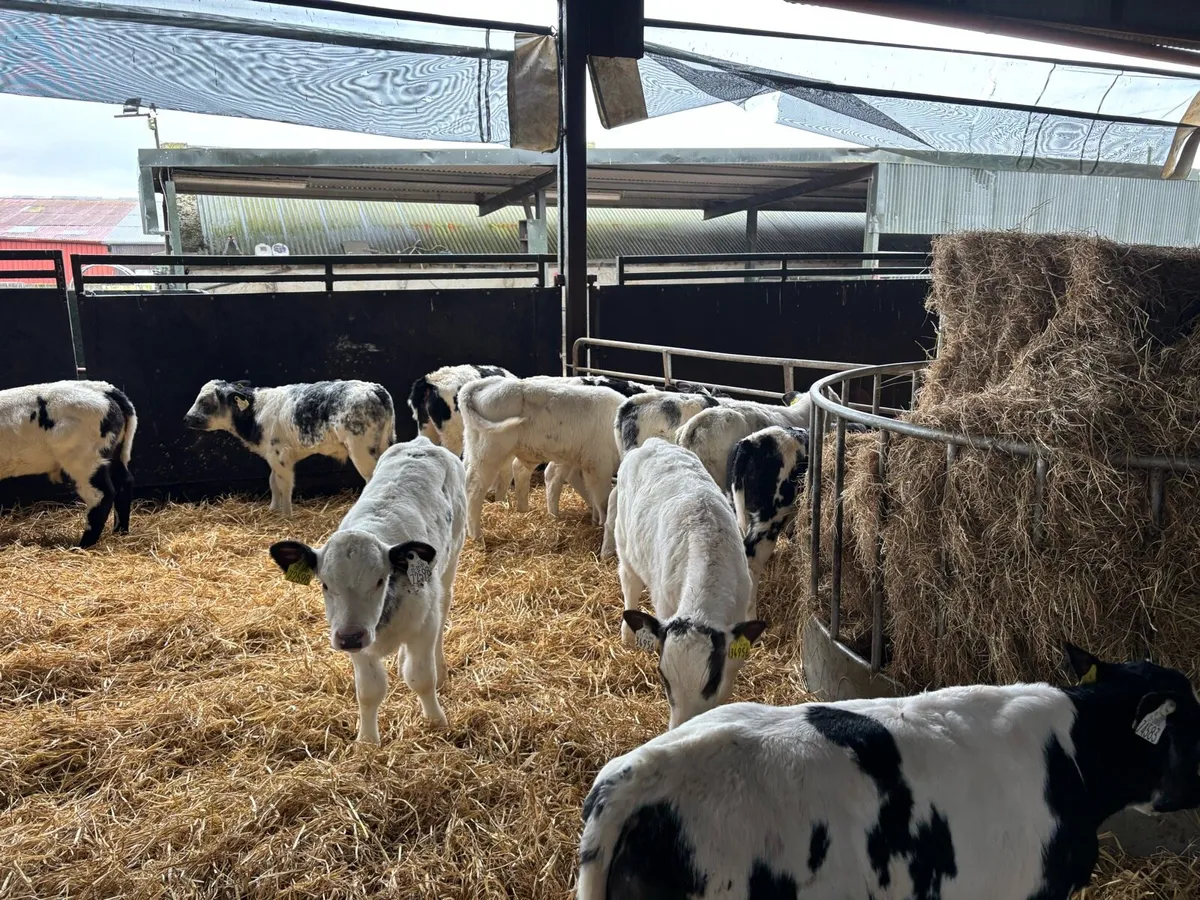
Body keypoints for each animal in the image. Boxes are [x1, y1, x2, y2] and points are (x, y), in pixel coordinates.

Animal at [0, 380, 137, 547]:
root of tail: (104, 389)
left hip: (83, 458)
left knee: (101, 495)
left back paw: (82, 545)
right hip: (116, 451)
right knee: (124, 483)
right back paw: (120, 533)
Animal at [184, 379, 394, 517]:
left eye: (205, 401)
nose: (186, 418)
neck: (256, 413)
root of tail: (374, 389)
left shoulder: (280, 455)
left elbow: (284, 485)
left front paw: (286, 515)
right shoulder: (272, 456)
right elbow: (273, 481)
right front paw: (273, 509)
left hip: (361, 450)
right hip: (384, 443)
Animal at [268, 436, 466, 743]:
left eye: (379, 580)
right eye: (325, 584)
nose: (350, 636)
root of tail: (421, 442)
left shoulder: (424, 625)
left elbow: (421, 678)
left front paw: (436, 721)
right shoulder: (356, 642)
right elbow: (369, 692)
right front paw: (367, 741)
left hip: (450, 563)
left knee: (444, 608)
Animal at [601, 438, 767, 731]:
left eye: (712, 681)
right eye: (663, 677)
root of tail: (652, 442)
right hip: (624, 544)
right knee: (629, 584)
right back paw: (627, 634)